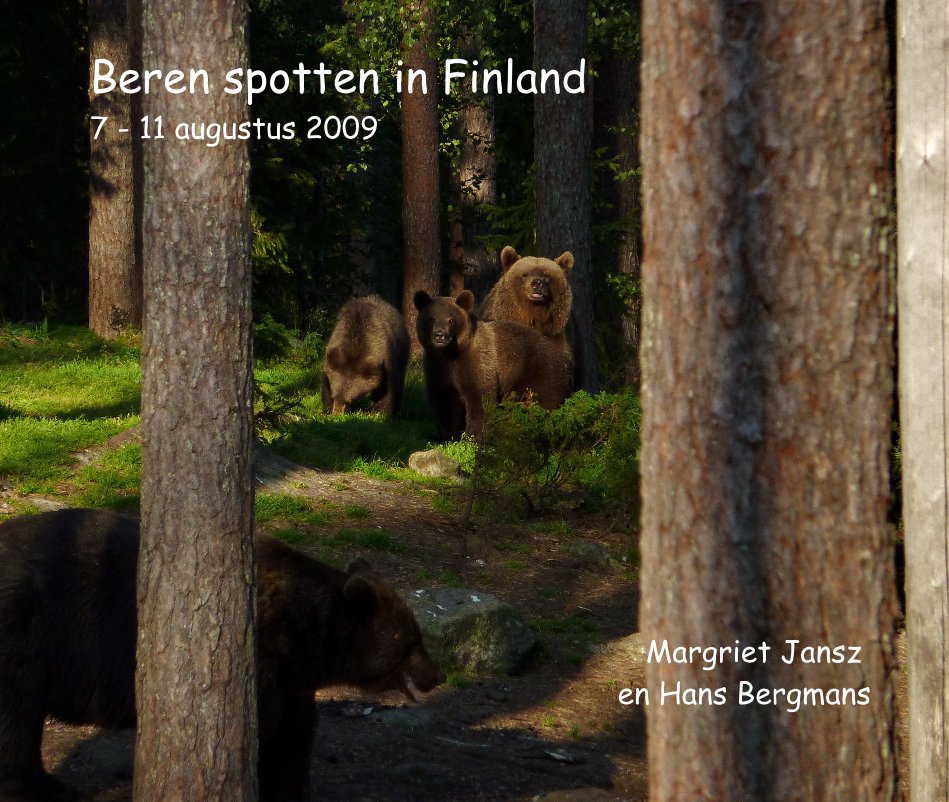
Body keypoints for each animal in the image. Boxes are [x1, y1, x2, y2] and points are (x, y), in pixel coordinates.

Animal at [0, 510, 442, 796]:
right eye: (413, 640)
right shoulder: (261, 662)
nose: (436, 675)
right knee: (17, 717)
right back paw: (42, 786)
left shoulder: (291, 682)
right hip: (25, 630)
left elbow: (293, 741)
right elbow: (264, 737)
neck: (302, 638)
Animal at [414, 290, 572, 438]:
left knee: (546, 401)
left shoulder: (476, 362)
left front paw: (475, 436)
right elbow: (444, 402)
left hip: (540, 371)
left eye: (451, 320)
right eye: (431, 319)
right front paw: (448, 435)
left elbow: (480, 399)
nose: (440, 335)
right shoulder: (437, 367)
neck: (451, 353)